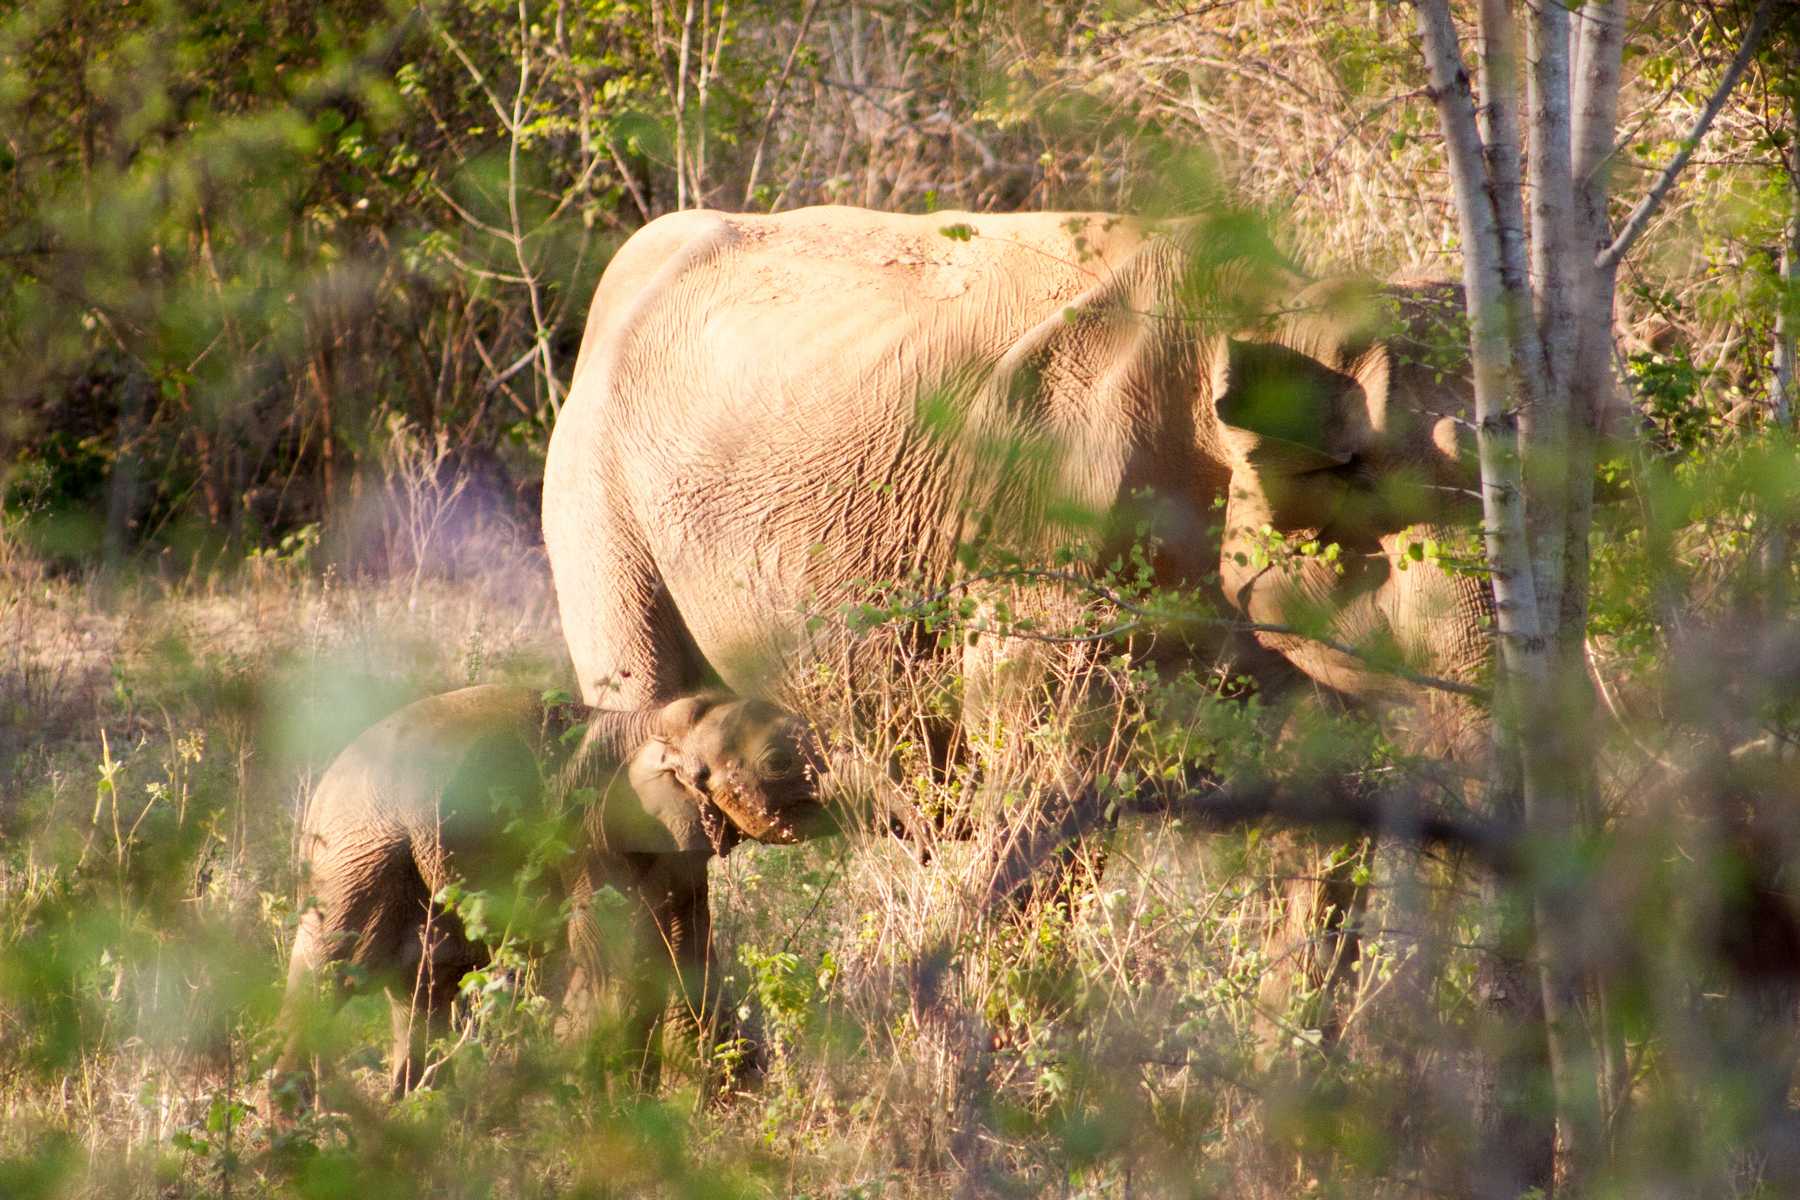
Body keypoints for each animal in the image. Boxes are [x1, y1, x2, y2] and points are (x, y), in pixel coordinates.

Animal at [273, 683, 824, 1101]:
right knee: (335, 968)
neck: (649, 724)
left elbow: (685, 947)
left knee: (424, 988)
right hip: (359, 857)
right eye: (778, 762)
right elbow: (616, 958)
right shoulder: (588, 834)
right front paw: (618, 1110)